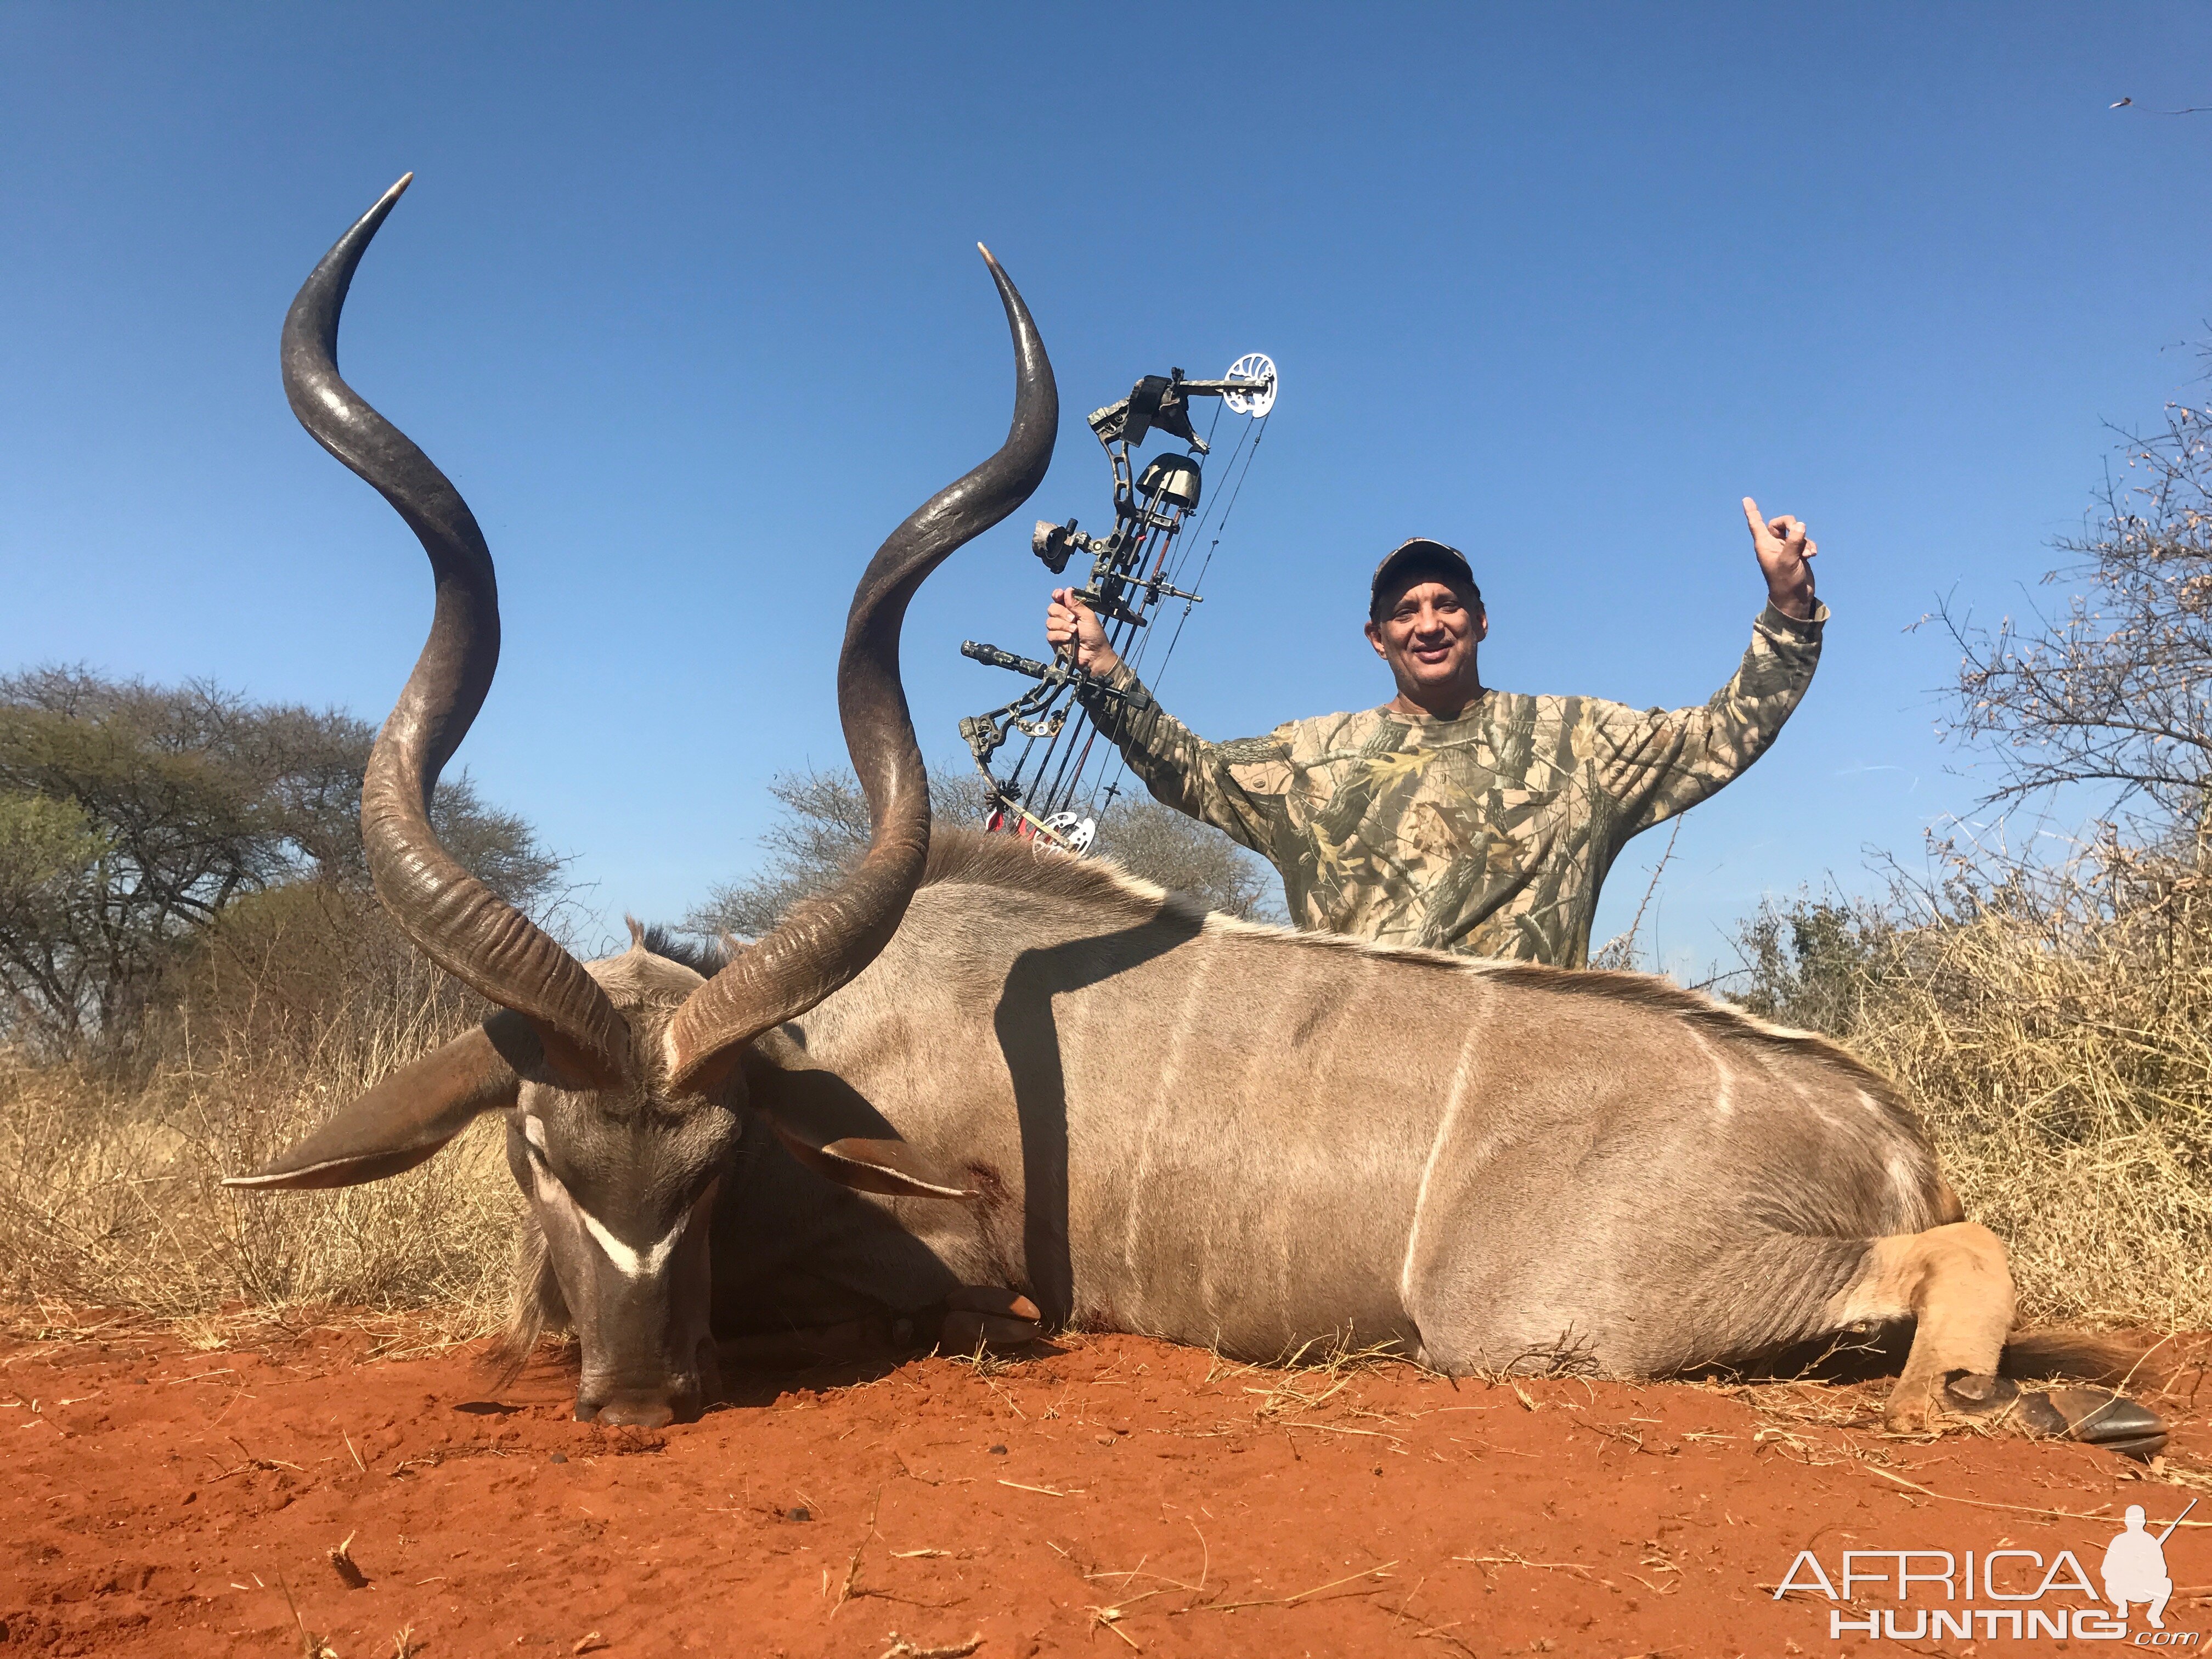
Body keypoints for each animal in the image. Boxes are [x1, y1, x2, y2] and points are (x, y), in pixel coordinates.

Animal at [238, 181, 2159, 1451]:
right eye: (534, 1151)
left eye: (711, 1166)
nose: (638, 1400)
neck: (851, 1041)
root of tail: (1880, 1121)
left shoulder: (951, 1252)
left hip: (1538, 1318)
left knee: (1956, 1264)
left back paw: (1985, 1398)